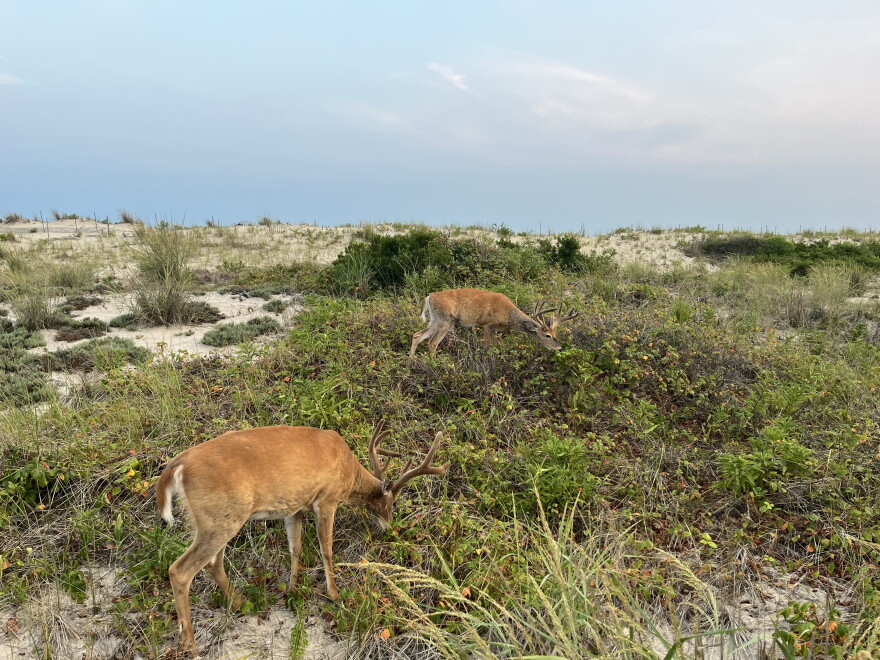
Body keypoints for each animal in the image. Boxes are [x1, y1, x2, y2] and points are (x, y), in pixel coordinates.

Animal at [155, 421, 448, 655]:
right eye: (391, 502)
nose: (389, 525)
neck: (349, 472)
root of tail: (176, 466)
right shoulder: (326, 499)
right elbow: (326, 548)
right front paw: (334, 594)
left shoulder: (294, 508)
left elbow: (295, 547)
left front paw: (292, 591)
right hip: (220, 517)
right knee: (180, 570)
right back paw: (190, 645)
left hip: (218, 520)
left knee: (213, 564)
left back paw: (241, 604)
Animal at [410, 288, 579, 357]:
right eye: (547, 336)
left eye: (555, 334)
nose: (559, 347)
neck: (508, 315)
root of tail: (429, 297)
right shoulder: (486, 325)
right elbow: (487, 347)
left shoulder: (496, 330)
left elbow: (496, 347)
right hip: (445, 319)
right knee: (432, 343)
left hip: (435, 319)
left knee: (417, 335)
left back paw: (411, 362)